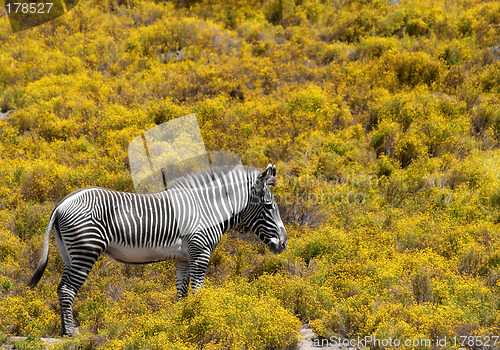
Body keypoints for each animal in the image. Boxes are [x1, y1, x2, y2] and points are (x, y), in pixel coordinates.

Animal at [28, 164, 290, 336]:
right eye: (269, 206)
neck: (208, 210)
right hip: (85, 250)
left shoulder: (184, 258)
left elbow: (181, 295)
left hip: (69, 253)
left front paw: (182, 322)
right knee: (66, 290)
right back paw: (71, 333)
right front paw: (199, 317)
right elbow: (197, 292)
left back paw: (65, 328)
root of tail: (63, 202)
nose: (284, 244)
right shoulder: (200, 253)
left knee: (61, 288)